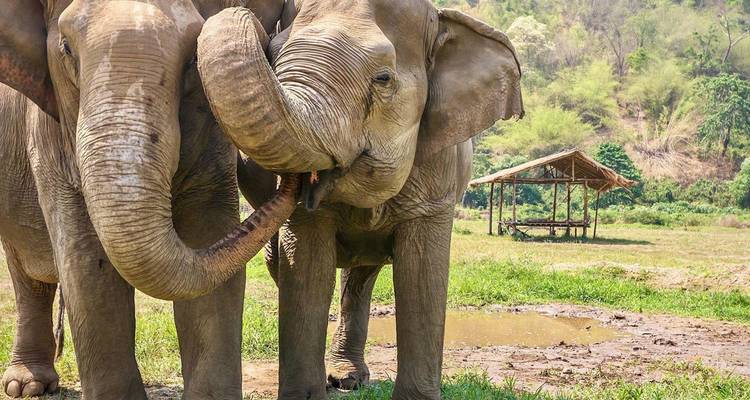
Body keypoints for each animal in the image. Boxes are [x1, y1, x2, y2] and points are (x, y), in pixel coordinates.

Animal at [0, 1, 299, 398]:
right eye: (65, 48)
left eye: (193, 59)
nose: (296, 180)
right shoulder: (48, 138)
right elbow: (86, 267)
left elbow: (209, 240)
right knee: (26, 272)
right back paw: (26, 385)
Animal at [197, 0, 524, 398]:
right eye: (272, 58)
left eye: (383, 78)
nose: (251, 18)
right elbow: (306, 269)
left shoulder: (439, 176)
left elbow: (422, 274)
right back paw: (341, 377)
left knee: (360, 278)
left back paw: (348, 377)